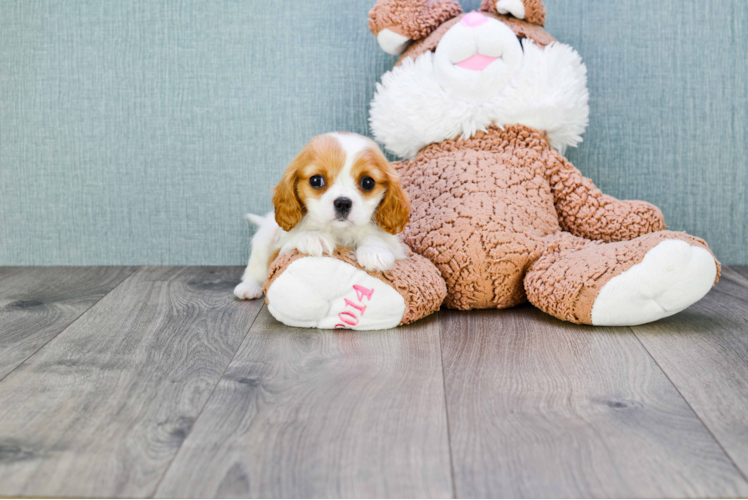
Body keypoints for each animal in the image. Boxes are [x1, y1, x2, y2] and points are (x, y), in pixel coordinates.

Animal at [234, 131, 410, 298]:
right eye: (316, 180)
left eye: (368, 182)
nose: (343, 202)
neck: (339, 231)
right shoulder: (276, 255)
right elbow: (296, 238)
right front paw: (314, 237)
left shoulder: (399, 250)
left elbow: (375, 238)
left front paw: (374, 251)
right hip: (261, 242)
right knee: (254, 270)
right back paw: (248, 288)